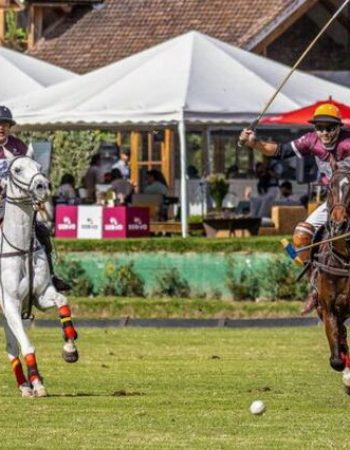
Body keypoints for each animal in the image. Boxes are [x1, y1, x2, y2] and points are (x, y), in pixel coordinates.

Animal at [0, 156, 78, 398]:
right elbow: (27, 345)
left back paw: (25, 385)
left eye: (39, 167)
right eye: (17, 169)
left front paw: (70, 348)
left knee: (10, 347)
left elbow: (62, 301)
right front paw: (37, 383)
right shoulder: (11, 303)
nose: (43, 186)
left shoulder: (41, 296)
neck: (21, 248)